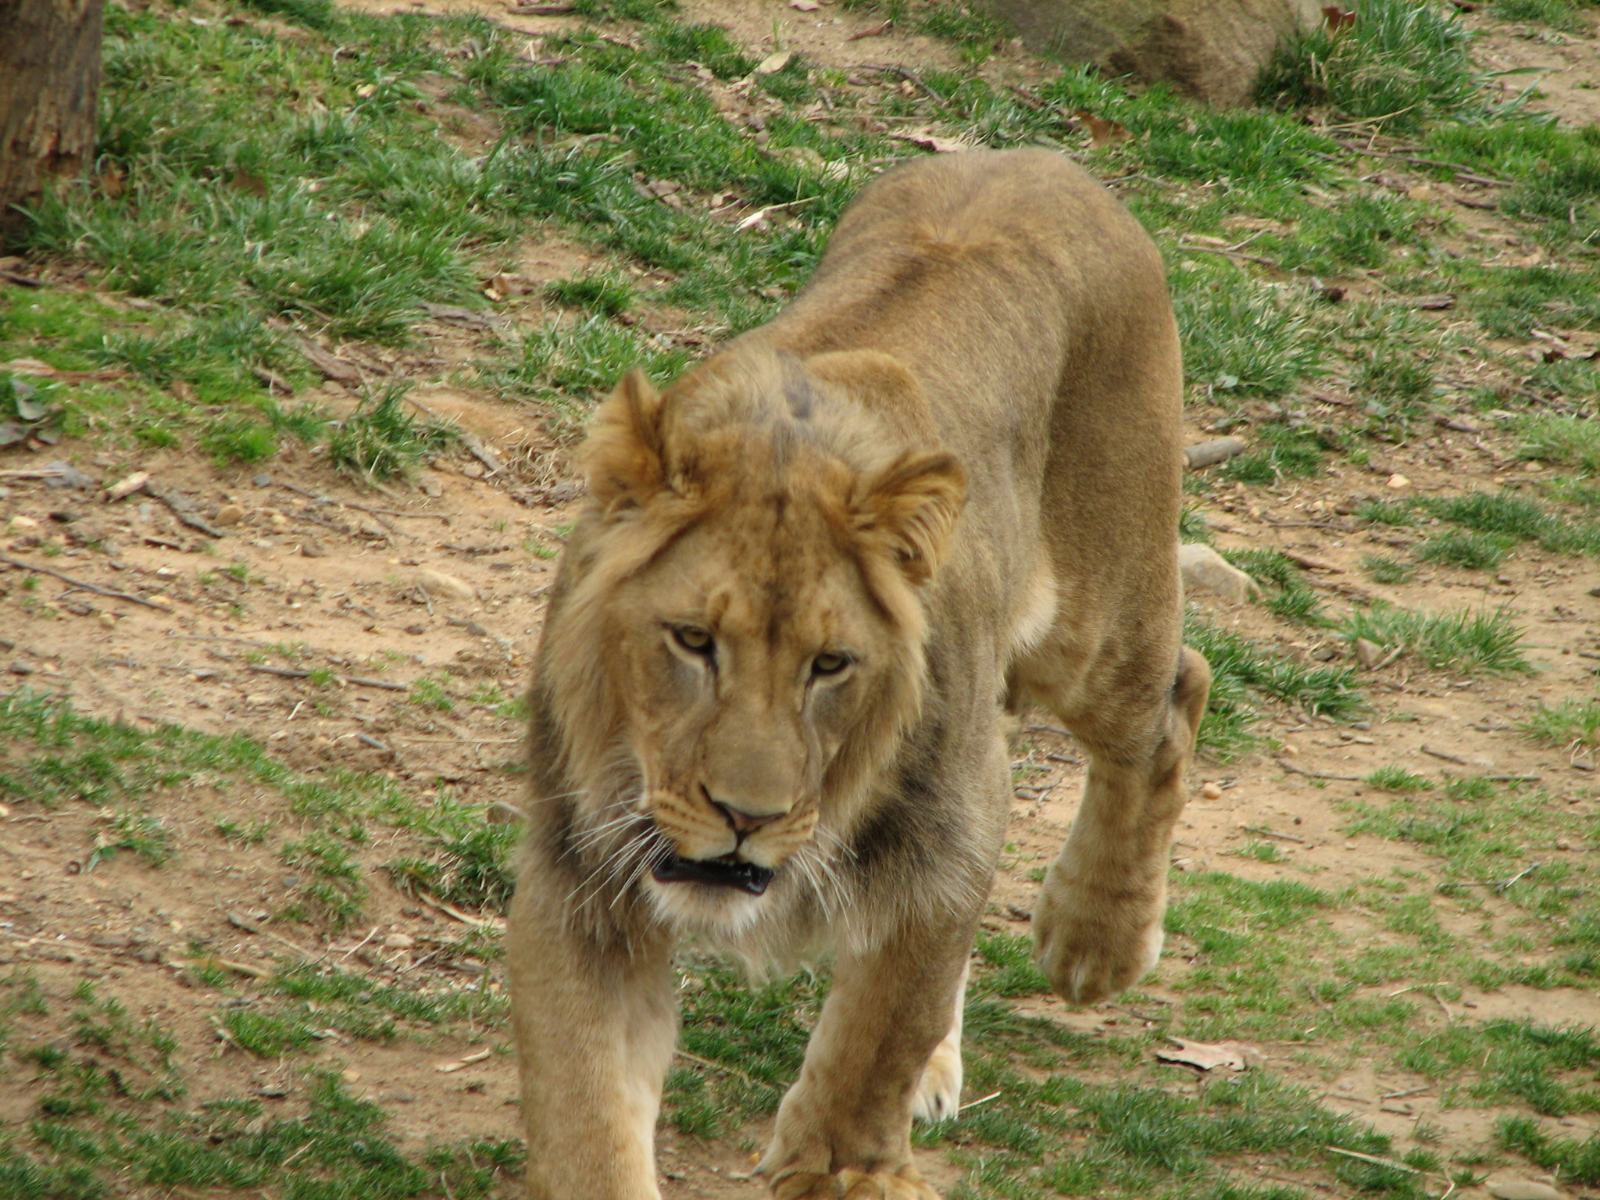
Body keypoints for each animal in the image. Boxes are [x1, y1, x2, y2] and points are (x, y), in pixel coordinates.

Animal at [508, 147, 1212, 1199]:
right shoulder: (579, 880)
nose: (746, 817)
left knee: (1174, 702)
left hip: (1099, 633)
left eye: (830, 665)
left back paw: (1095, 940)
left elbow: (878, 1039)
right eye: (692, 641)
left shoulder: (946, 829)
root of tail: (1036, 154)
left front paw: (841, 1166)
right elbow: (585, 1117)